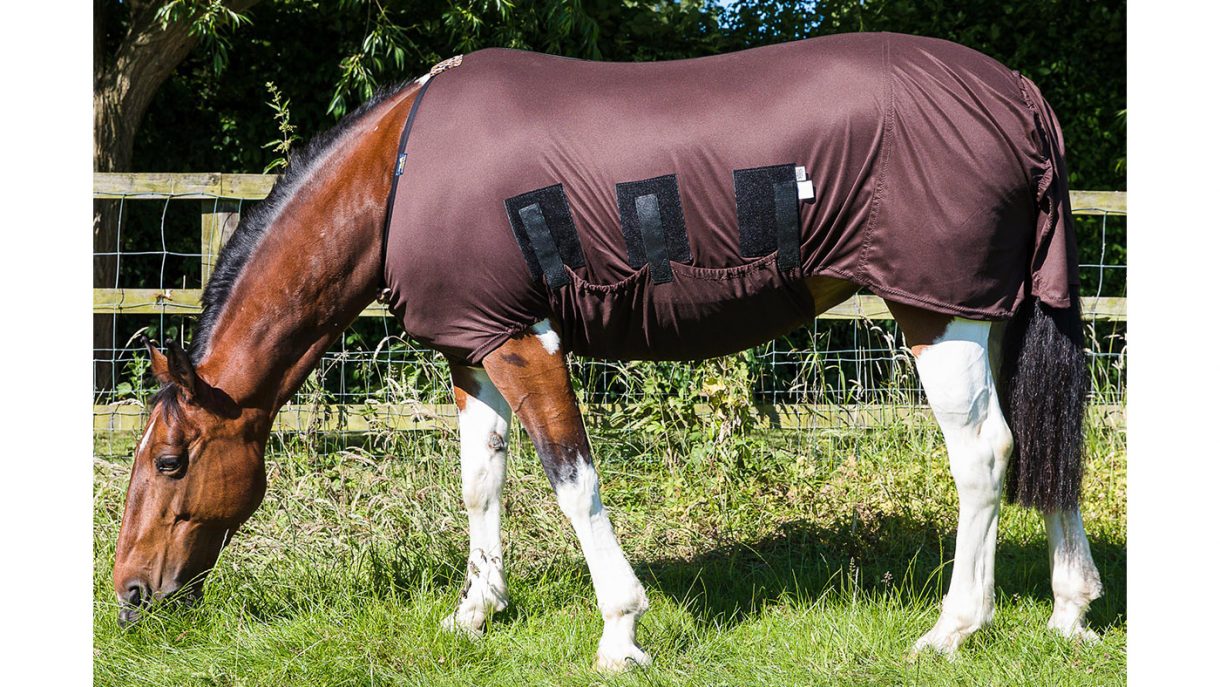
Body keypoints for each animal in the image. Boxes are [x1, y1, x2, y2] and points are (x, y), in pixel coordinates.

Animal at [112, 32, 1102, 671]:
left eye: (169, 461)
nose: (128, 595)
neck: (397, 175)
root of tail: (1015, 94)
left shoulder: (524, 340)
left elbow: (570, 478)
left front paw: (620, 630)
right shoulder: (472, 347)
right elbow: (481, 481)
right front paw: (474, 614)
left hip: (937, 310)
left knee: (987, 453)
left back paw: (954, 628)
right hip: (999, 308)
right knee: (1051, 445)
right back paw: (1071, 612)